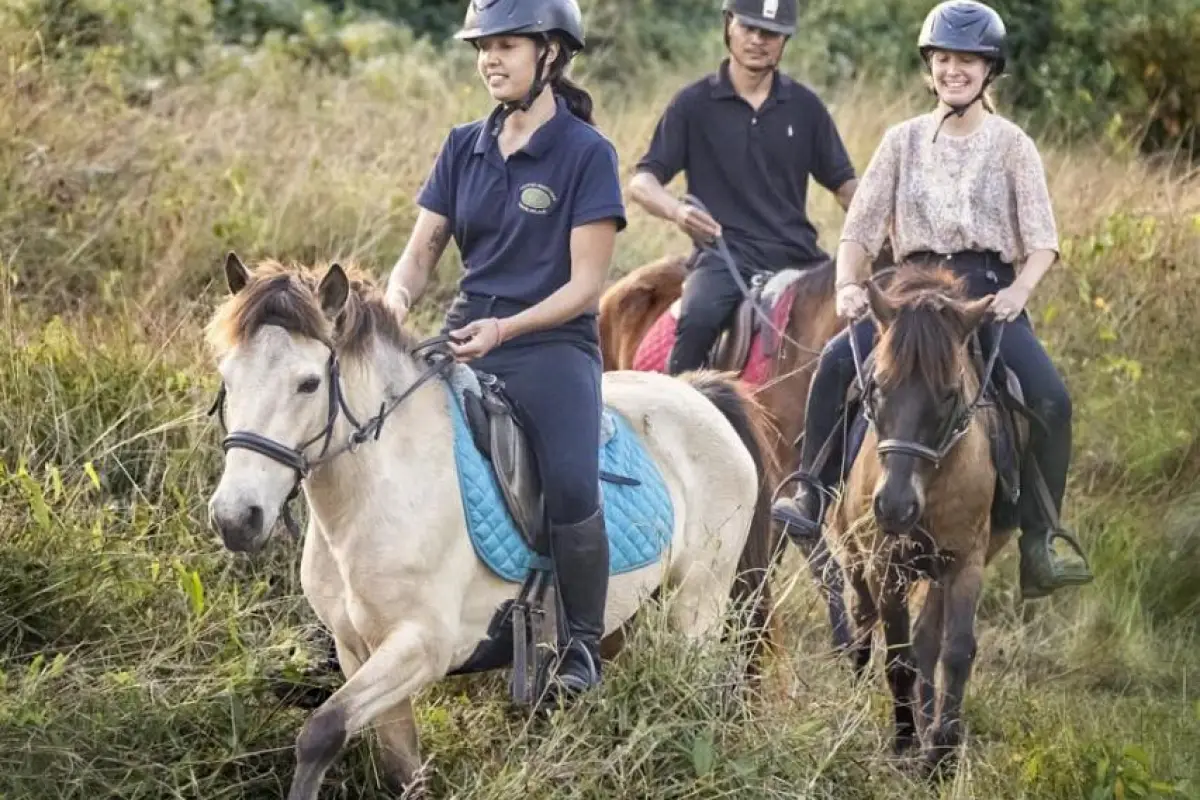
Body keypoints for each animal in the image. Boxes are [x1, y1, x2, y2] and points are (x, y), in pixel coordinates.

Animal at [205, 254, 780, 799]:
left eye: (308, 383)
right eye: (227, 379)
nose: (236, 518)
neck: (379, 491)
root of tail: (698, 394)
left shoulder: (422, 646)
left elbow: (320, 732)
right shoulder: (355, 649)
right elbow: (400, 765)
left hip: (698, 605)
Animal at [823, 263, 1021, 775]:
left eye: (949, 394)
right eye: (878, 386)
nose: (894, 507)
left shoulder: (964, 559)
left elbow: (955, 650)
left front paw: (942, 750)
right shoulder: (885, 563)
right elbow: (898, 658)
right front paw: (904, 741)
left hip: (934, 568)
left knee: (928, 637)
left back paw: (929, 716)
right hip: (855, 555)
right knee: (864, 618)